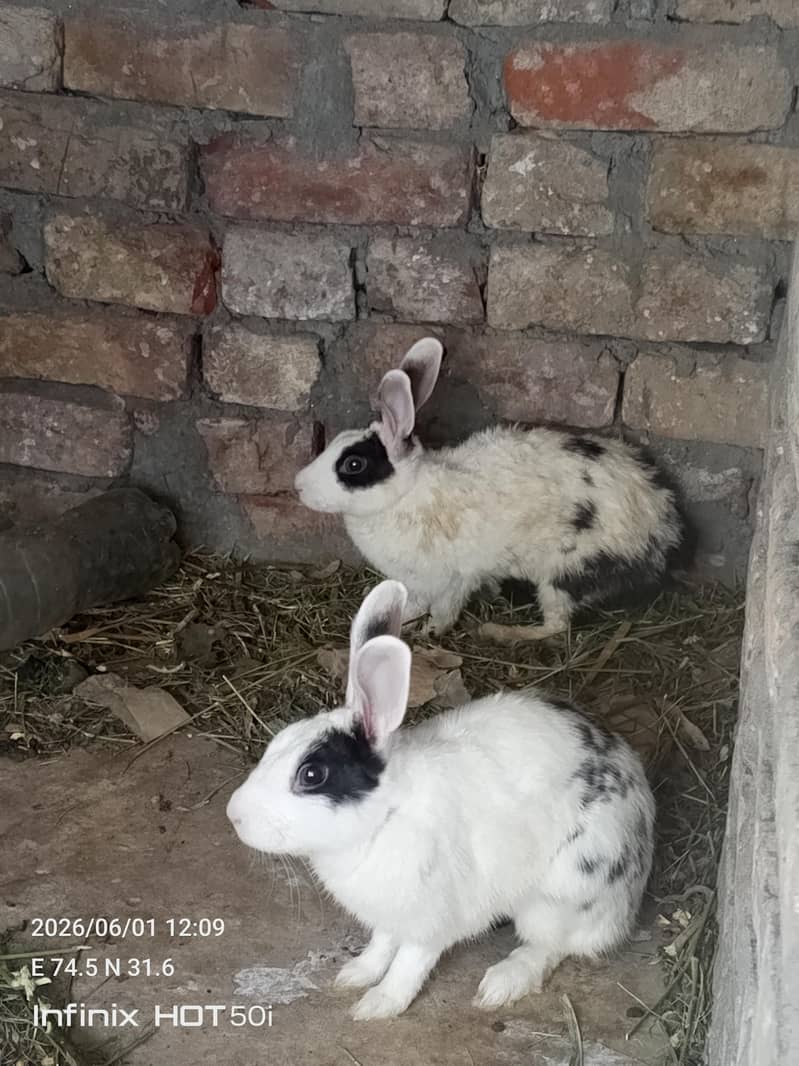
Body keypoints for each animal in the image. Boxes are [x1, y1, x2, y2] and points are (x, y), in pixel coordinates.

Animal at [226, 579, 655, 1021]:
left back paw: (503, 982)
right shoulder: (389, 915)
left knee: (553, 945)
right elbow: (382, 944)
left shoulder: (431, 921)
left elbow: (408, 964)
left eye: (312, 775)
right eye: (279, 740)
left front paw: (377, 1005)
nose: (234, 815)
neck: (385, 817)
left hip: (562, 892)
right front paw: (355, 973)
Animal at [294, 337, 692, 639]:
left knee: (556, 628)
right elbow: (412, 604)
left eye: (353, 465)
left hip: (563, 574)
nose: (298, 486)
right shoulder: (417, 582)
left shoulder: (452, 580)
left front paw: (430, 632)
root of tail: (664, 529)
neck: (406, 496)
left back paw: (500, 632)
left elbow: (443, 611)